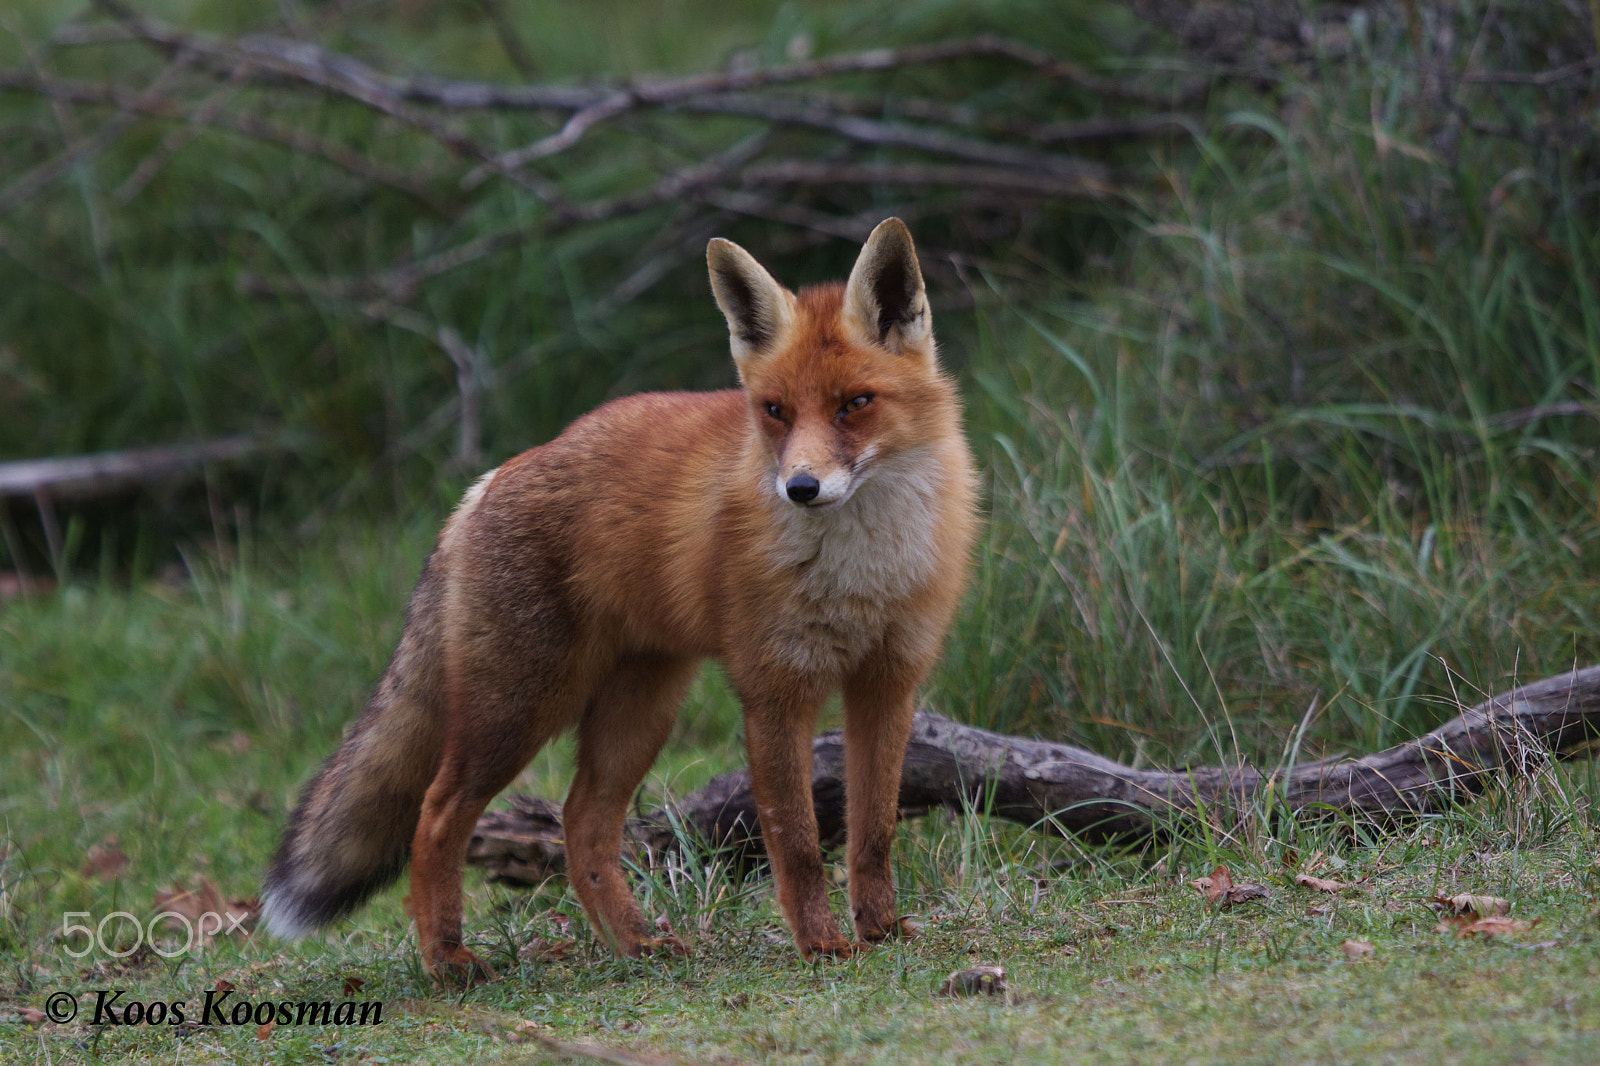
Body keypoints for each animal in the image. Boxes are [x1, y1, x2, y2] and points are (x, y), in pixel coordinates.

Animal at [260, 218, 978, 982]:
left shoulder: (888, 681)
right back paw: (448, 958)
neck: (862, 569)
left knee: (581, 822)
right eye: (775, 412)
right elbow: (800, 842)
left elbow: (872, 831)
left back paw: (633, 942)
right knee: (437, 811)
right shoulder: (776, 688)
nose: (800, 488)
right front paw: (822, 944)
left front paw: (881, 929)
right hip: (520, 706)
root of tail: (485, 483)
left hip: (639, 708)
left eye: (855, 404)